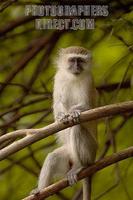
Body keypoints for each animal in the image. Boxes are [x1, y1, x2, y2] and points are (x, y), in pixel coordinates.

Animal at [33, 46, 97, 198]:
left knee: (77, 129)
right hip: (68, 154)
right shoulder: (59, 78)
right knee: (52, 158)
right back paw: (41, 190)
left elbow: (88, 105)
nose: (76, 67)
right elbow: (58, 103)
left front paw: (72, 112)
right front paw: (62, 116)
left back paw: (80, 166)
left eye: (80, 61)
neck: (72, 78)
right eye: (72, 60)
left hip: (91, 151)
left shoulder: (88, 80)